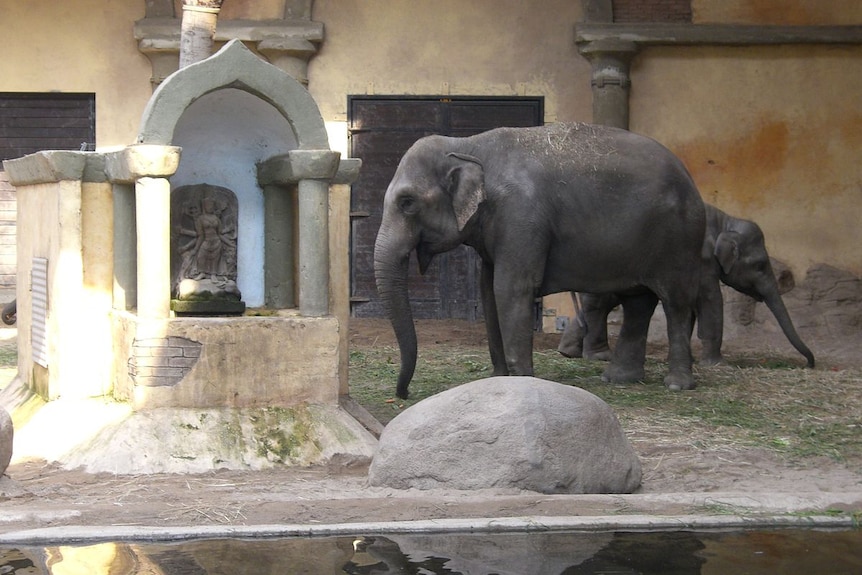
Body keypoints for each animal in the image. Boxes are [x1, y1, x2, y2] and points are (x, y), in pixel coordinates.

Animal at [374, 123, 704, 398]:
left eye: (407, 202)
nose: (403, 393)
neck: (468, 144)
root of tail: (690, 179)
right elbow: (488, 291)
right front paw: (496, 380)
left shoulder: (521, 215)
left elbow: (510, 288)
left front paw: (521, 382)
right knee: (638, 302)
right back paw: (619, 379)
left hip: (678, 241)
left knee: (674, 302)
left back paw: (676, 384)